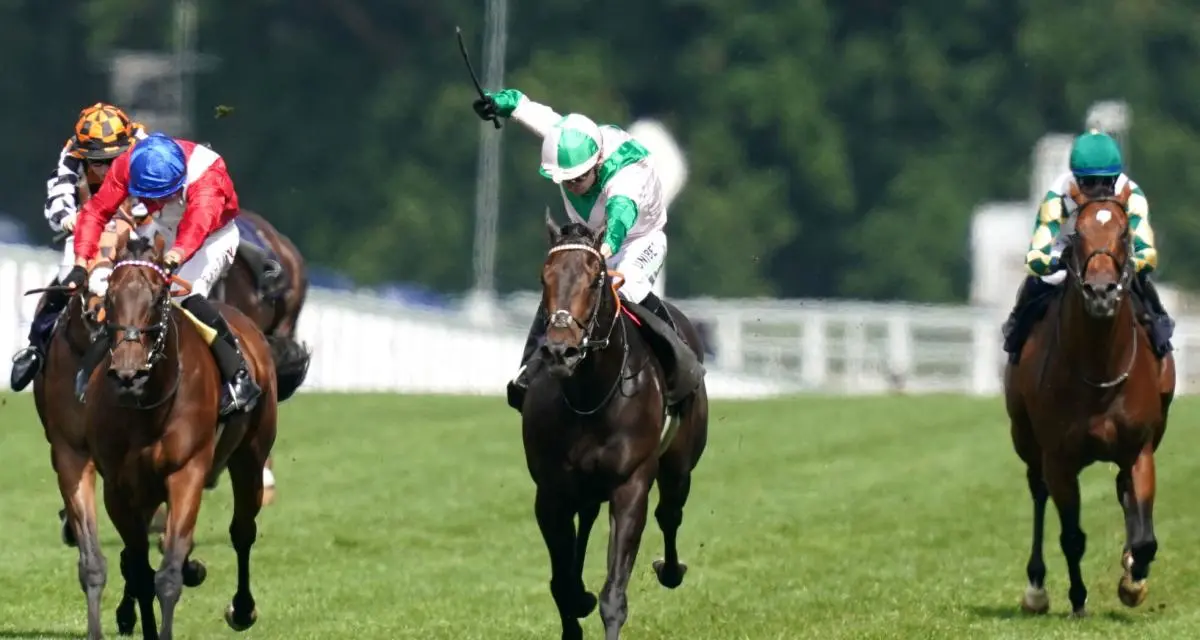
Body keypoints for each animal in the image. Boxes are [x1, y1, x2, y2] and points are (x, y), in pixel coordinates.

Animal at [73, 230, 291, 638]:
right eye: (109, 297)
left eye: (159, 297)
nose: (128, 374)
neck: (148, 407)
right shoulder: (119, 486)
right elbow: (139, 568)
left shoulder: (186, 472)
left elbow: (167, 575)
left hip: (250, 456)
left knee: (242, 530)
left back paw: (242, 609)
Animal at [520, 219, 705, 638]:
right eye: (544, 277)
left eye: (594, 280)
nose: (561, 351)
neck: (589, 395)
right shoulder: (550, 492)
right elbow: (562, 583)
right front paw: (577, 604)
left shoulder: (630, 484)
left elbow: (613, 595)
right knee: (588, 518)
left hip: (680, 463)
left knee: (670, 513)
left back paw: (670, 570)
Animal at [1003, 182, 1171, 614]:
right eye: (1077, 235)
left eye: (1125, 234)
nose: (1100, 292)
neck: (1099, 367)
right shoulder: (1059, 457)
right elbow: (1072, 536)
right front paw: (1077, 598)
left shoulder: (1139, 447)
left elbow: (1145, 538)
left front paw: (1133, 579)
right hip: (1026, 439)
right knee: (1038, 490)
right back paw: (1036, 588)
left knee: (1124, 491)